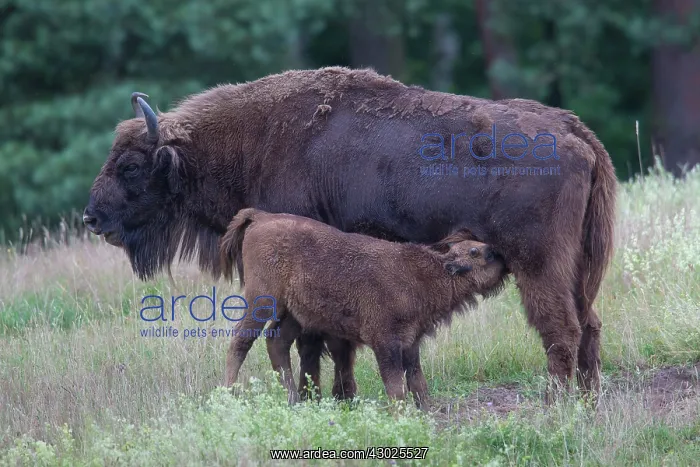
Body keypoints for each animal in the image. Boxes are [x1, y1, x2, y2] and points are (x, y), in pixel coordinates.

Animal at [83, 66, 617, 402]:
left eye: (131, 166)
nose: (91, 218)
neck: (257, 139)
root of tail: (575, 132)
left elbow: (315, 342)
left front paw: (326, 396)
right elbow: (332, 342)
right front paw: (340, 395)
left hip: (538, 265)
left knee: (561, 328)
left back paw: (555, 402)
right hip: (577, 268)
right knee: (589, 323)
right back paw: (589, 400)